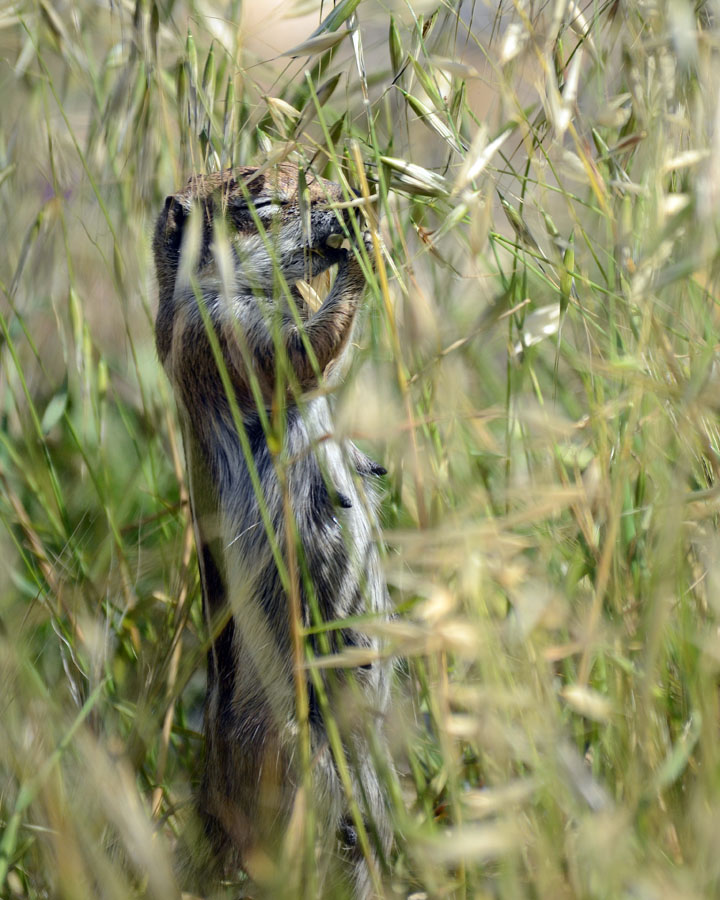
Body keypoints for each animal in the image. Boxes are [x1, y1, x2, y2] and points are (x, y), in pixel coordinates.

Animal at [153, 165, 394, 896]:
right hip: (292, 759)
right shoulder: (219, 331)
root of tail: (210, 792)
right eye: (260, 202)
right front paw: (364, 244)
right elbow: (300, 354)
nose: (345, 198)